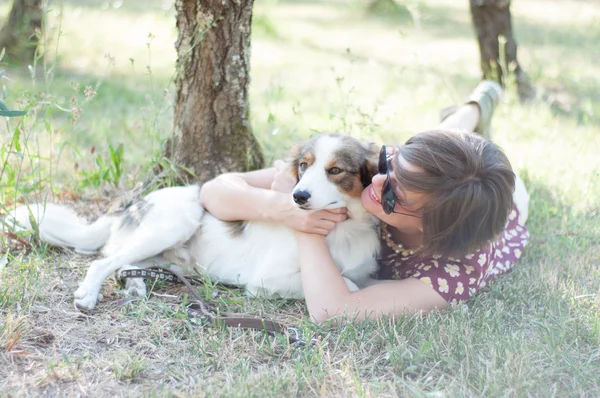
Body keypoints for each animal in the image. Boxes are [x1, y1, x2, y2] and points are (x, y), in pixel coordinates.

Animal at [5, 134, 380, 310]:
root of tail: (133, 204)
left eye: (335, 170)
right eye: (304, 165)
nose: (298, 197)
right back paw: (89, 294)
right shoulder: (266, 279)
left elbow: (357, 281)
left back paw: (136, 286)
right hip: (175, 223)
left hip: (173, 259)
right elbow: (350, 286)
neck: (343, 229)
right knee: (104, 262)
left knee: (126, 264)